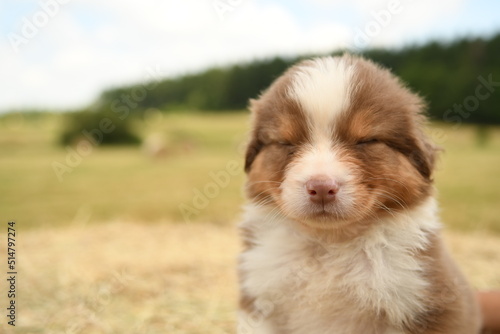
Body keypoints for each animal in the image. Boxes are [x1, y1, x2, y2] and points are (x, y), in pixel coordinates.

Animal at [238, 55, 480, 334]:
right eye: (285, 143)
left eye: (366, 141)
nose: (322, 187)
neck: (329, 244)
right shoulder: (260, 301)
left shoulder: (424, 300)